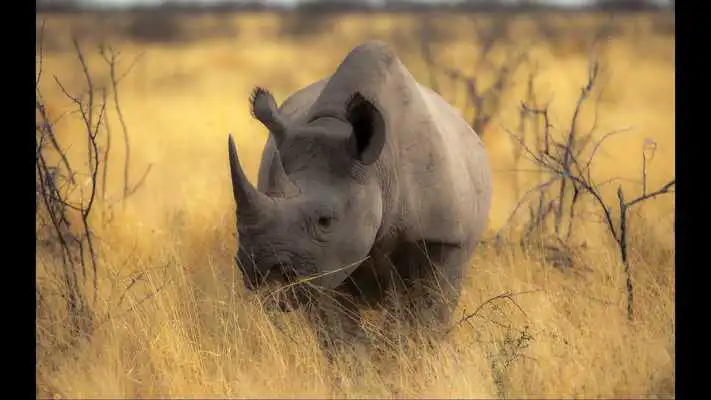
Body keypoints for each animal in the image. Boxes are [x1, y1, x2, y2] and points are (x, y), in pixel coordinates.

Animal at [227, 40, 492, 343]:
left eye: (326, 220)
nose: (260, 270)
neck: (379, 170)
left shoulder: (444, 236)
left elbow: (424, 319)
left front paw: (403, 353)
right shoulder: (327, 263)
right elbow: (341, 333)